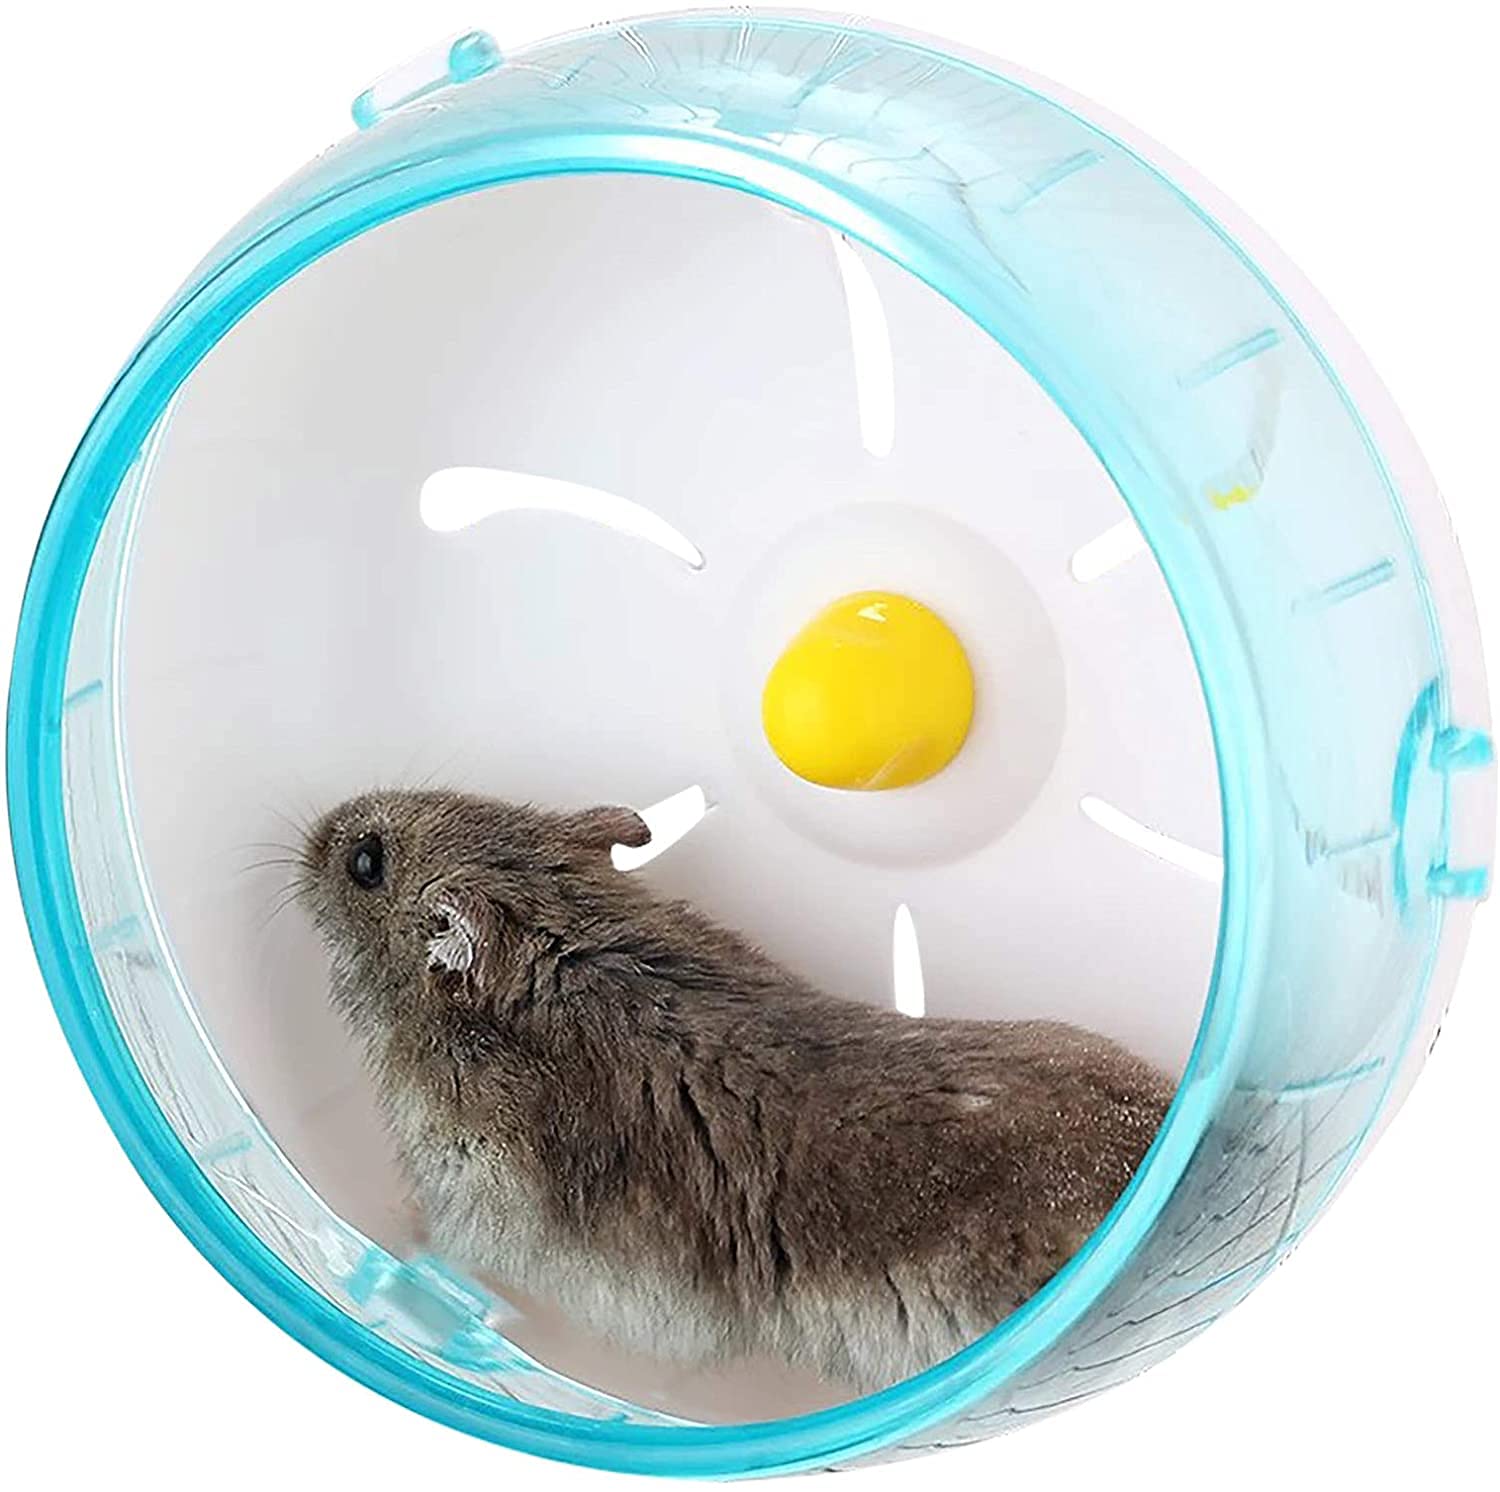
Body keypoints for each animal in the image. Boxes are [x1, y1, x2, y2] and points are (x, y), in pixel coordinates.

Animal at [300, 788, 1174, 1392]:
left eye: (365, 862)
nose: (318, 829)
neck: (562, 940)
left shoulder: (480, 1192)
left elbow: (439, 1240)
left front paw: (382, 1233)